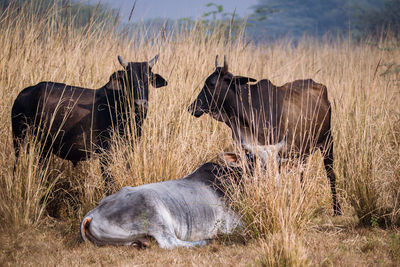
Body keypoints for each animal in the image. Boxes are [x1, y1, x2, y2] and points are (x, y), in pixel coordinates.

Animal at [10, 54, 167, 189]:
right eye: (128, 80)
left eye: (147, 79)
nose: (140, 104)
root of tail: (27, 91)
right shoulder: (105, 154)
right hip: (20, 141)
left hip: (43, 148)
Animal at [188, 56, 340, 216]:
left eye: (211, 83)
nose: (193, 107)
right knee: (301, 176)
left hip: (327, 142)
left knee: (330, 174)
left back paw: (337, 209)